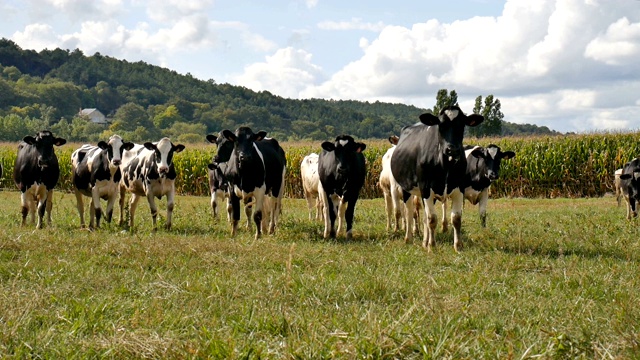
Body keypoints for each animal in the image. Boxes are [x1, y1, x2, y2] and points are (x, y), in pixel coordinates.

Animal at [388, 105, 482, 252]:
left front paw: (458, 246)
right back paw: (409, 238)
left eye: (462, 125)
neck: (445, 165)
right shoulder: (426, 188)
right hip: (406, 187)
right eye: (441, 125)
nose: (452, 149)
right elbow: (432, 219)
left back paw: (424, 242)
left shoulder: (459, 187)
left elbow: (456, 218)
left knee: (424, 216)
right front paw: (432, 246)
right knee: (409, 212)